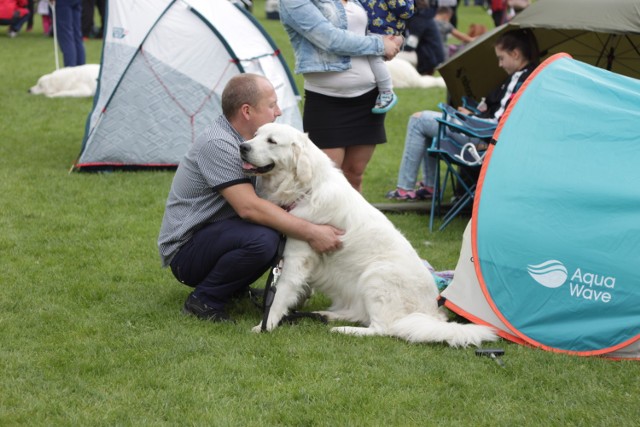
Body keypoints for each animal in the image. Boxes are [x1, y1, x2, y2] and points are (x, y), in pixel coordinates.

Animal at [239, 123, 496, 348]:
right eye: (255, 134)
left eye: (272, 141)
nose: (243, 146)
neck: (305, 189)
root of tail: (432, 315)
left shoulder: (296, 257)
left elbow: (280, 293)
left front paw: (265, 325)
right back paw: (327, 315)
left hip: (375, 275)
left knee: (382, 329)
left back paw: (343, 330)